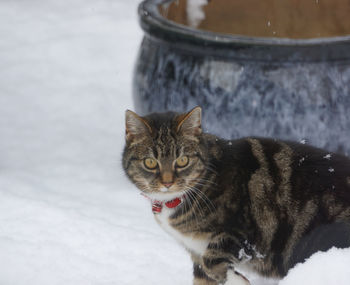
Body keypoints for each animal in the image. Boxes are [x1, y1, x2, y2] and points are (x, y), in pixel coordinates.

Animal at [122, 106, 350, 284]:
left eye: (183, 160)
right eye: (150, 162)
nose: (167, 182)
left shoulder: (243, 232)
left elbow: (212, 261)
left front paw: (238, 280)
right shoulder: (195, 251)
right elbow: (203, 275)